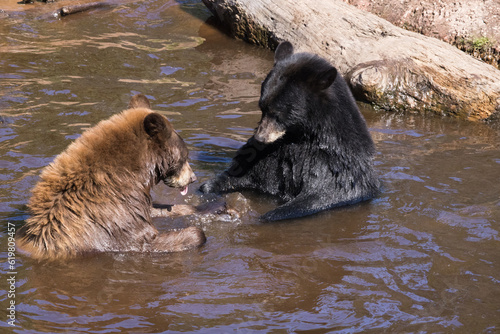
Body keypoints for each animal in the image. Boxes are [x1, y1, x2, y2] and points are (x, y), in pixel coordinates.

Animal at [17, 94, 205, 260]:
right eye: (185, 156)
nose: (193, 178)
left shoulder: (131, 201)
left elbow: (152, 209)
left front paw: (197, 208)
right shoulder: (113, 218)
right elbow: (142, 240)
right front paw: (197, 233)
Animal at [200, 41, 378, 220]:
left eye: (278, 114)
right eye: (262, 107)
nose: (260, 138)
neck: (304, 137)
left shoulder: (332, 167)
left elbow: (320, 195)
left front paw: (267, 215)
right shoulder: (267, 156)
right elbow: (244, 171)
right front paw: (209, 186)